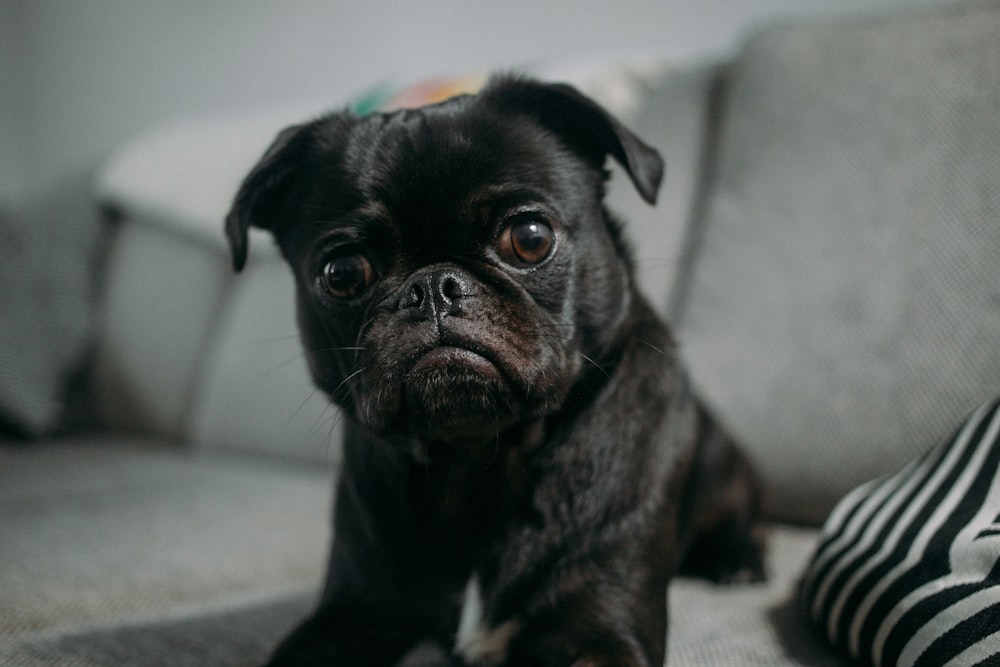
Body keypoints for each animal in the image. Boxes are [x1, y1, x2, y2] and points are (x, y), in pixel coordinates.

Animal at [225, 75, 764, 664]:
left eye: (529, 237)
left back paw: (738, 560)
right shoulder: (350, 617)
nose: (432, 286)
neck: (478, 463)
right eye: (342, 273)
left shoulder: (600, 631)